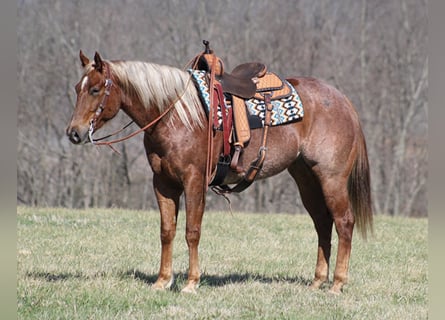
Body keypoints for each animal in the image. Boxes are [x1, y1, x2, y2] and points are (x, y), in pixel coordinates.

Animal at [66, 51, 372, 294]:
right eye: (77, 88)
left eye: (95, 90)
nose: (74, 133)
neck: (174, 114)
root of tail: (342, 100)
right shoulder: (163, 182)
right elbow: (167, 231)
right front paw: (163, 281)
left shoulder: (193, 180)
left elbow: (192, 231)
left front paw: (191, 283)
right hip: (306, 178)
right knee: (322, 223)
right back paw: (318, 281)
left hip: (331, 178)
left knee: (344, 222)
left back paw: (337, 284)